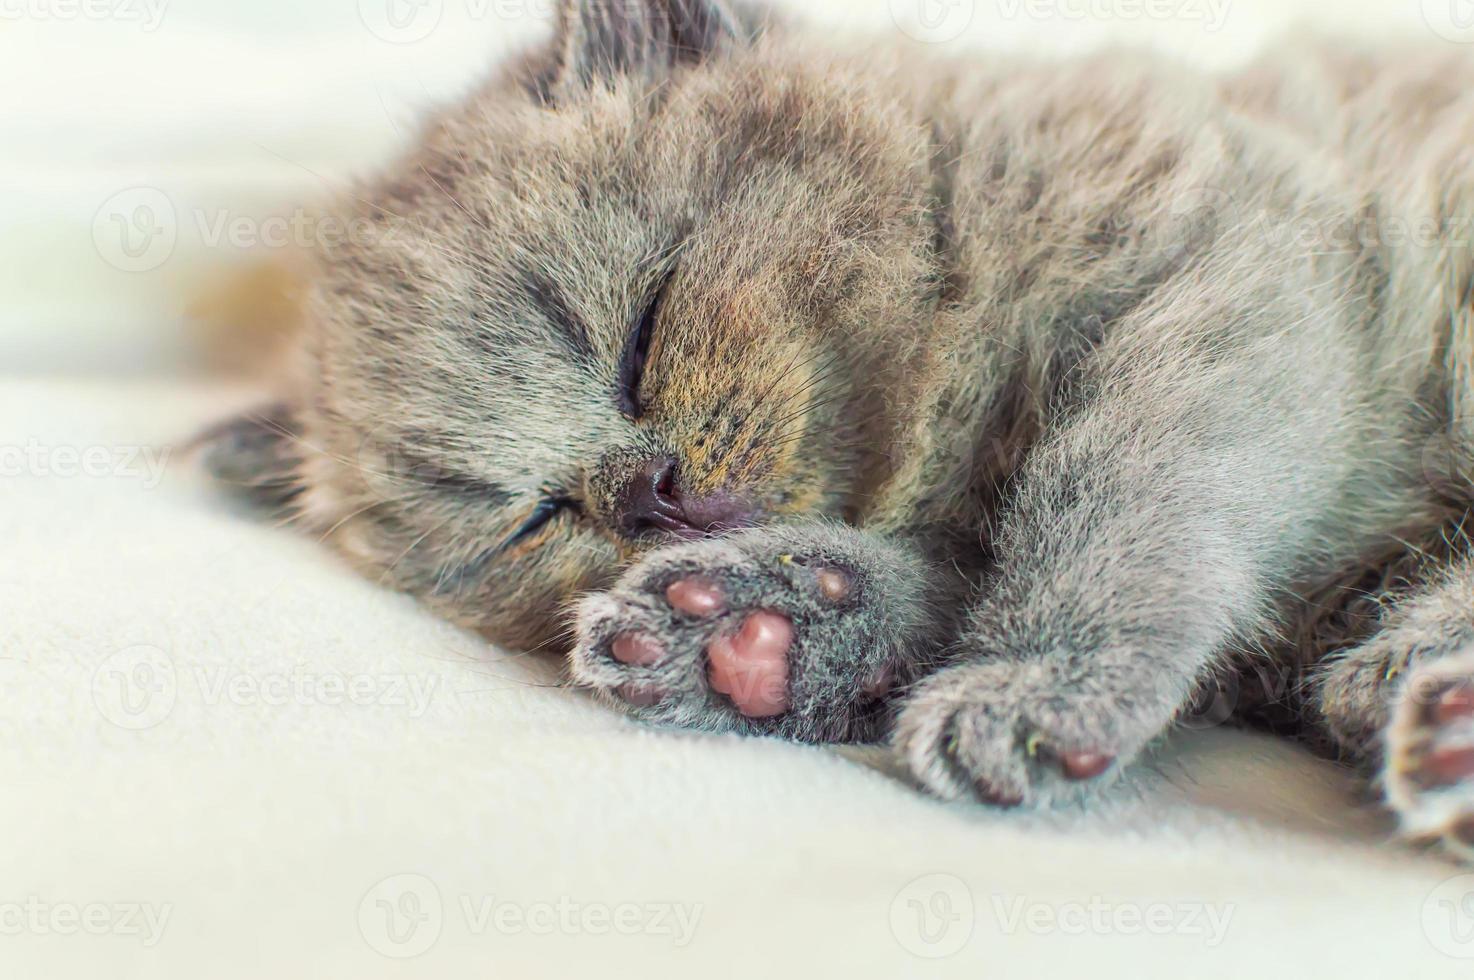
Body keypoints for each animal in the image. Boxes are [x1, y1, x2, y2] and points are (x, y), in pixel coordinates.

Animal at [204, 0, 1474, 854]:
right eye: (530, 520)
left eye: (640, 331)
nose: (647, 491)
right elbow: (951, 577)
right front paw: (752, 633)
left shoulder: (1231, 266)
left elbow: (1117, 498)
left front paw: (1036, 681)